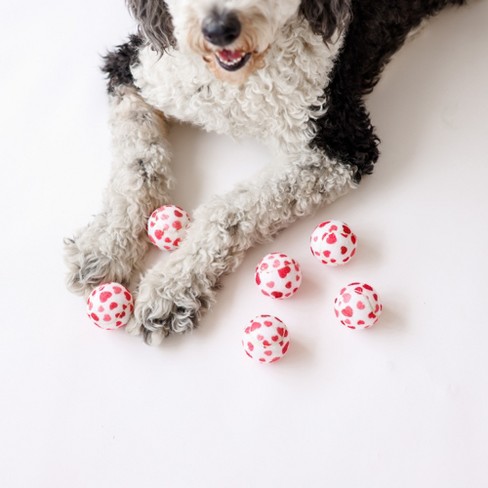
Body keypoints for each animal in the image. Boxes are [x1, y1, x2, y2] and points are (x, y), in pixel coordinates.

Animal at [63, 0, 466, 346]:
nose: (219, 30)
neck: (242, 76)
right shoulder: (138, 70)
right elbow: (138, 166)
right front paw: (105, 246)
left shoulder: (340, 141)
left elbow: (227, 210)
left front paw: (174, 285)